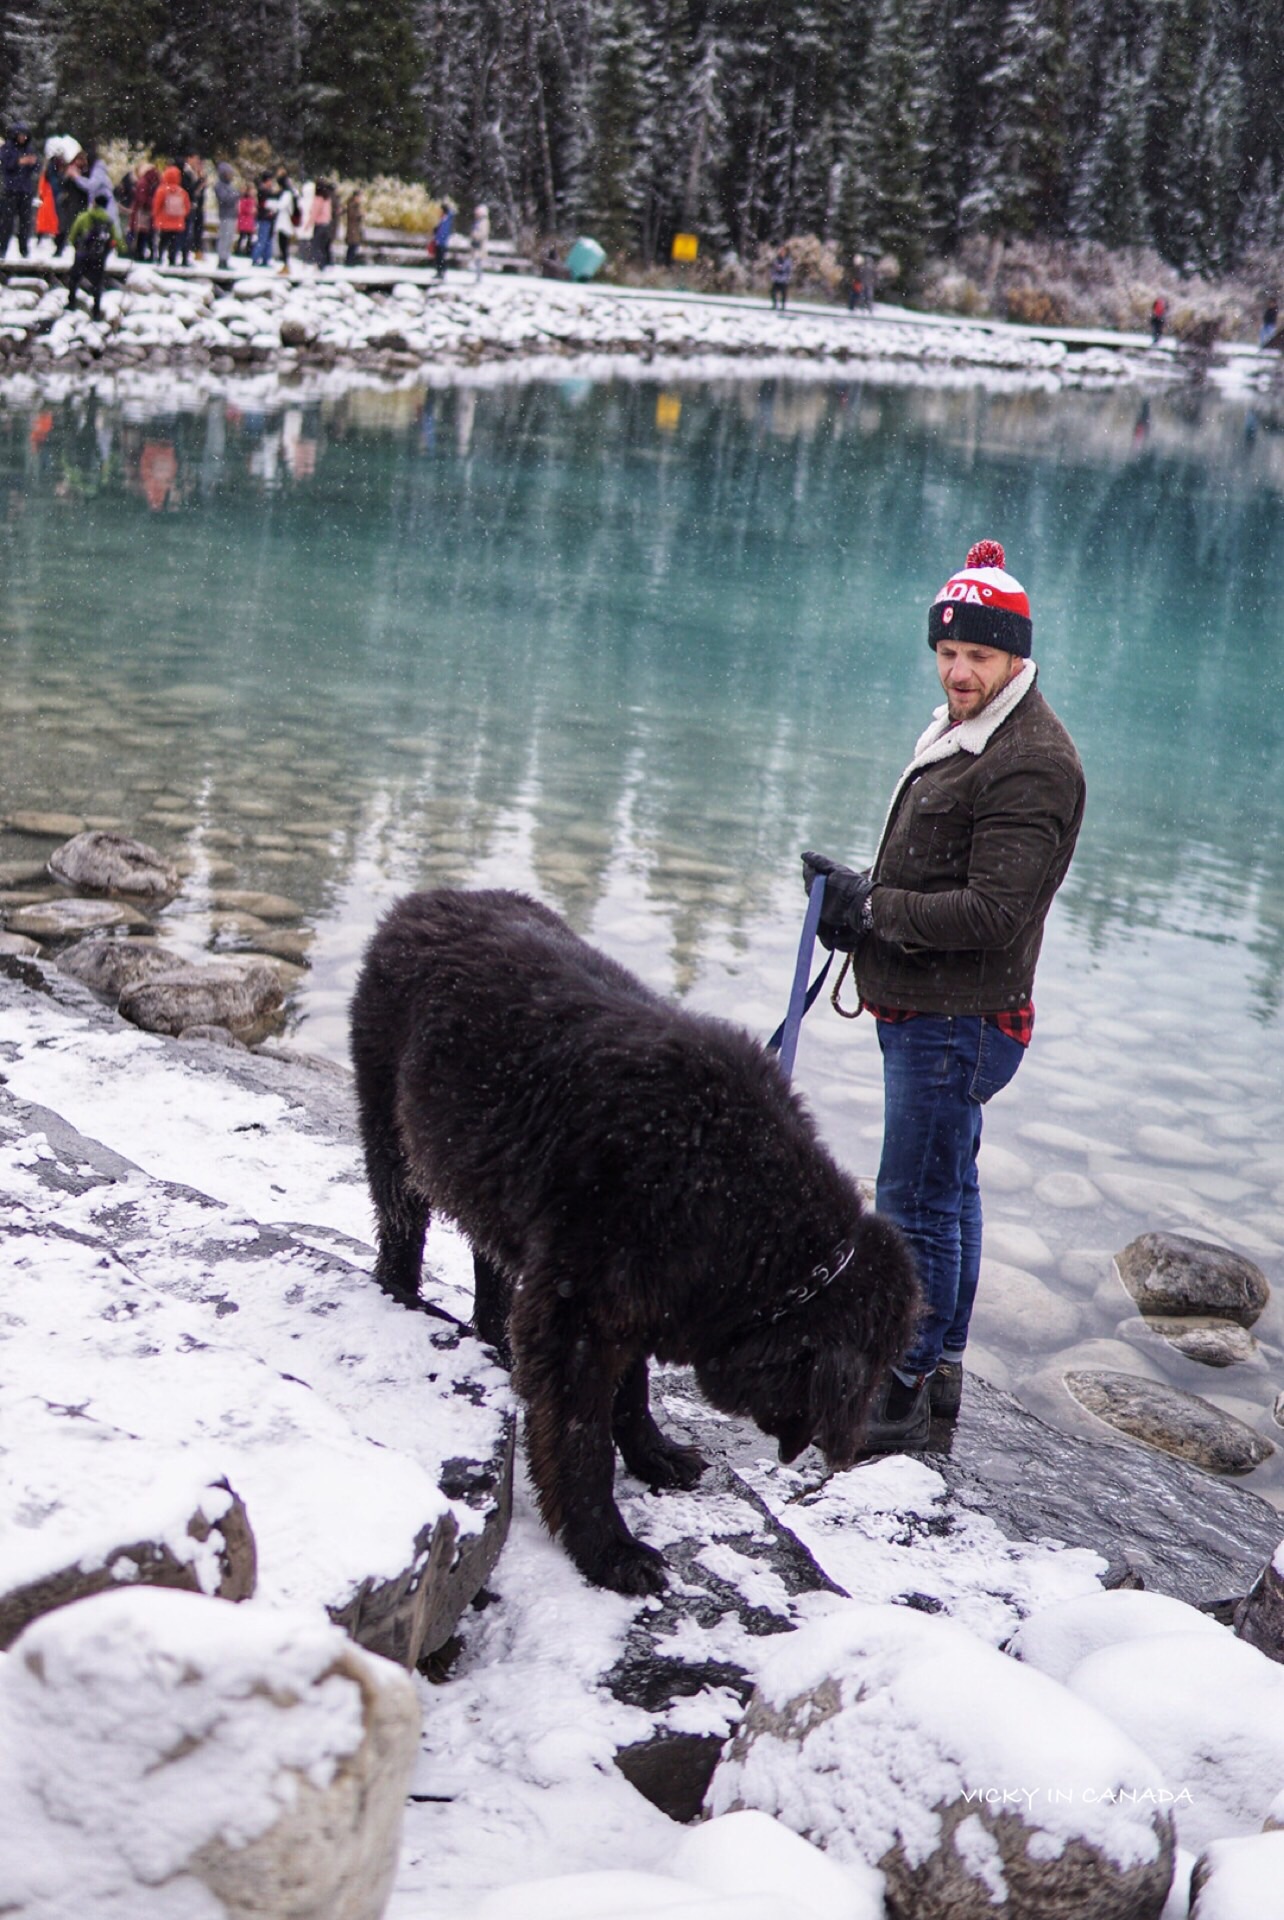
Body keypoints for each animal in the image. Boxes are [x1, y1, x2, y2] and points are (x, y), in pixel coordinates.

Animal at [345, 890, 917, 1597]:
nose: (847, 1450)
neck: (736, 1200)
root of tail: (420, 901)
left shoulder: (641, 1294)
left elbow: (632, 1390)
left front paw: (654, 1455)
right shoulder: (581, 1310)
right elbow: (581, 1439)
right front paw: (610, 1551)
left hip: (485, 1173)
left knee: (489, 1260)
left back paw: (493, 1339)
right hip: (392, 1131)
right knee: (401, 1228)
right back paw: (402, 1299)